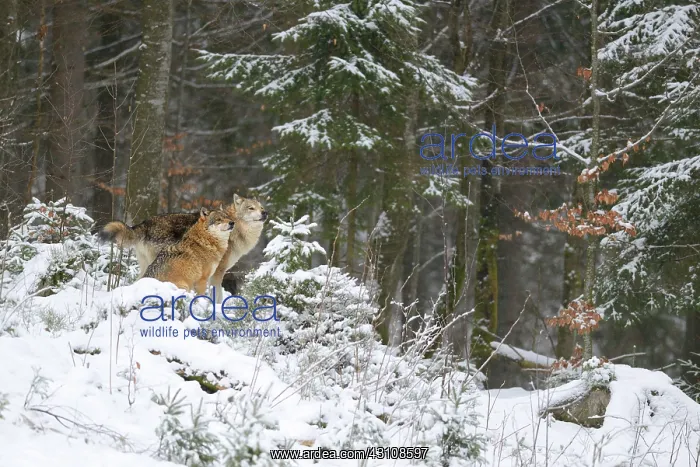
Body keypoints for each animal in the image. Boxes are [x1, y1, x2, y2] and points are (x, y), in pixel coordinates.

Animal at [98, 194, 267, 297]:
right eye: (251, 208)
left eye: (261, 207)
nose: (265, 213)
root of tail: (143, 224)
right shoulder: (216, 273)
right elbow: (217, 296)